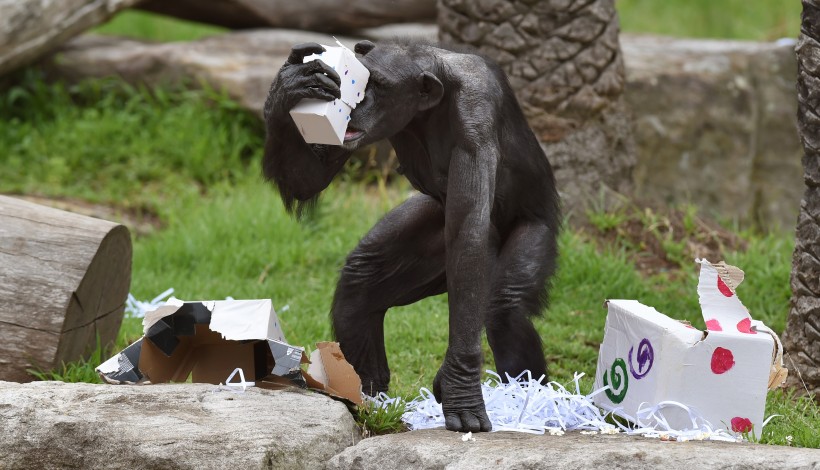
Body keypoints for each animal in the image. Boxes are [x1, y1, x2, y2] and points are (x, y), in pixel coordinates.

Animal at [262, 40, 556, 434]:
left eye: (379, 86)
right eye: (361, 80)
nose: (356, 103)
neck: (426, 109)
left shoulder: (475, 118)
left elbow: (469, 236)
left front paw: (460, 390)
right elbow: (307, 180)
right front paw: (289, 85)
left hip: (537, 229)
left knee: (504, 307)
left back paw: (535, 407)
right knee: (360, 282)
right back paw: (366, 396)